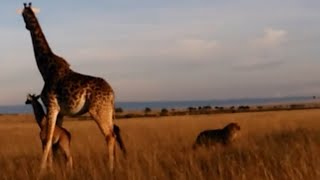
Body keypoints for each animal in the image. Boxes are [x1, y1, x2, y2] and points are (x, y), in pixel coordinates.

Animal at [21, 2, 116, 172]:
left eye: (23, 14)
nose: (26, 25)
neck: (46, 69)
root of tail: (112, 93)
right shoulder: (61, 112)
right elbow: (56, 139)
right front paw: (55, 169)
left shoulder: (51, 105)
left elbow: (48, 139)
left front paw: (42, 170)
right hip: (108, 111)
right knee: (114, 134)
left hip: (98, 111)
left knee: (109, 136)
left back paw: (110, 169)